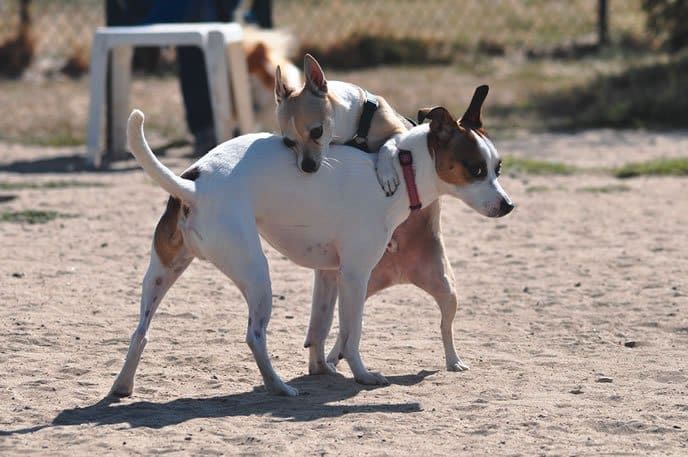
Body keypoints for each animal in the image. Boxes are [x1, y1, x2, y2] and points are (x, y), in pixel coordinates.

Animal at [110, 86, 512, 396]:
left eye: (498, 167)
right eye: (475, 169)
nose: (508, 205)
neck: (405, 169)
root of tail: (192, 186)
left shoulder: (330, 274)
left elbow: (321, 327)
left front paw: (322, 368)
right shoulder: (354, 277)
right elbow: (351, 334)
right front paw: (363, 375)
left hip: (162, 274)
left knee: (140, 332)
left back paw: (121, 387)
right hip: (258, 277)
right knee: (255, 335)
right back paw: (278, 387)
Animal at [274, 54, 406, 195]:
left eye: (317, 131)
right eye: (288, 142)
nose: (307, 166)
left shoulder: (400, 131)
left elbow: (386, 146)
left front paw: (387, 174)